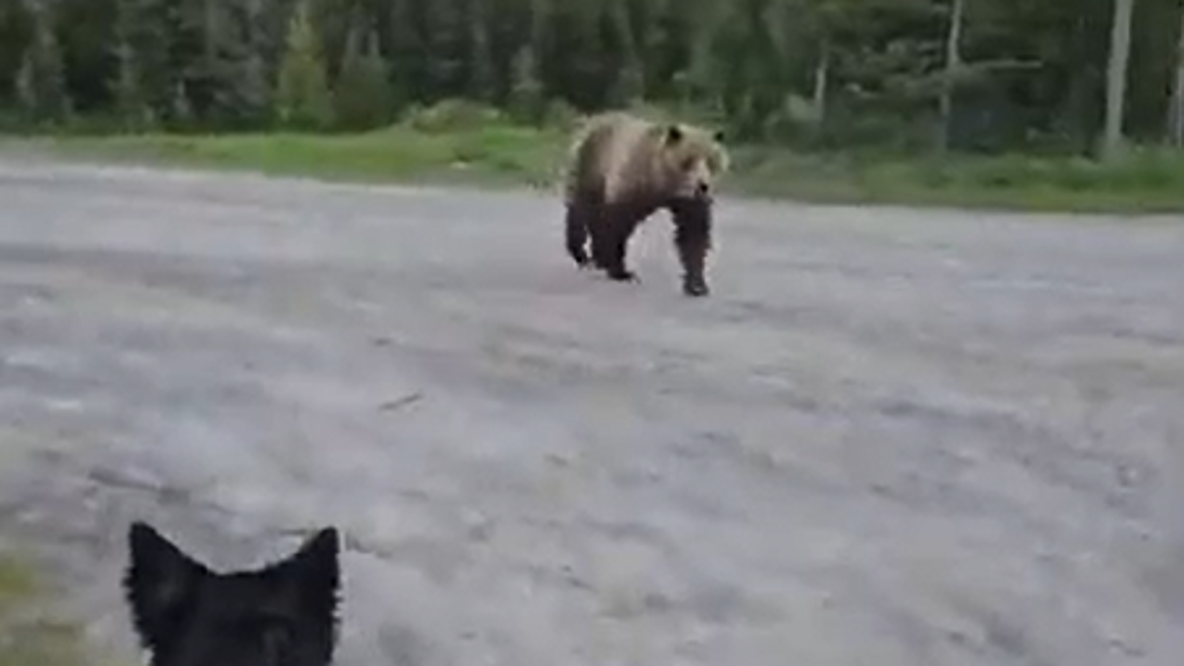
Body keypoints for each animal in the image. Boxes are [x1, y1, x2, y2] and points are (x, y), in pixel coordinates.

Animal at [562, 111, 729, 297]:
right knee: (580, 208)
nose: (703, 186)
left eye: (712, 162)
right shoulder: (632, 178)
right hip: (590, 164)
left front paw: (697, 284)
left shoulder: (689, 203)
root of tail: (593, 119)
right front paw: (621, 271)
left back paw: (597, 258)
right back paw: (581, 254)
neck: (663, 183)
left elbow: (694, 233)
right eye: (688, 160)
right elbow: (616, 224)